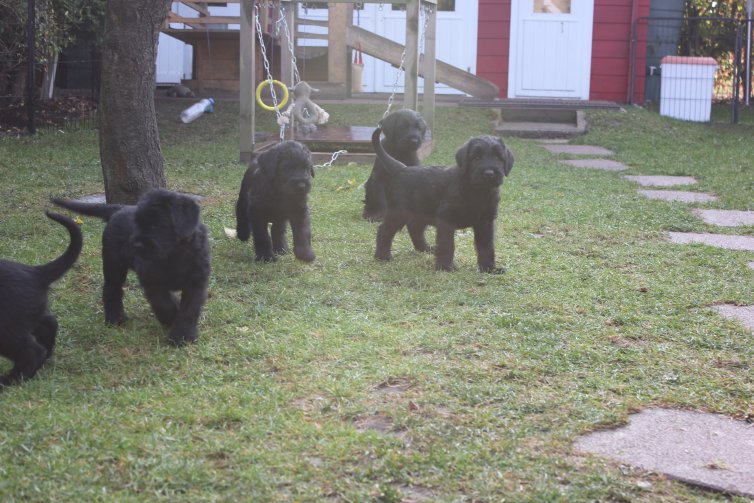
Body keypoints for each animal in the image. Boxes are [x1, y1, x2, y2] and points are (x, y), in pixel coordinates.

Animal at [53, 189, 209, 346]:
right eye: (137, 224)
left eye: (156, 225)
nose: (136, 245)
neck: (174, 254)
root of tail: (119, 209)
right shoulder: (150, 280)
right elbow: (163, 303)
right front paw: (171, 317)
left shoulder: (196, 283)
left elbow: (189, 310)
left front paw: (183, 335)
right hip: (114, 267)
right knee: (111, 289)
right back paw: (115, 318)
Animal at [368, 128, 512, 274]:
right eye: (476, 157)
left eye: (498, 157)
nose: (489, 173)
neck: (476, 191)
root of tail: (402, 168)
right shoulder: (446, 219)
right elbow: (447, 244)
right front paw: (445, 267)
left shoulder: (485, 222)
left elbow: (486, 246)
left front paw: (489, 268)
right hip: (399, 213)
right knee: (384, 231)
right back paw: (382, 256)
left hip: (421, 213)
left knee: (414, 227)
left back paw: (425, 248)